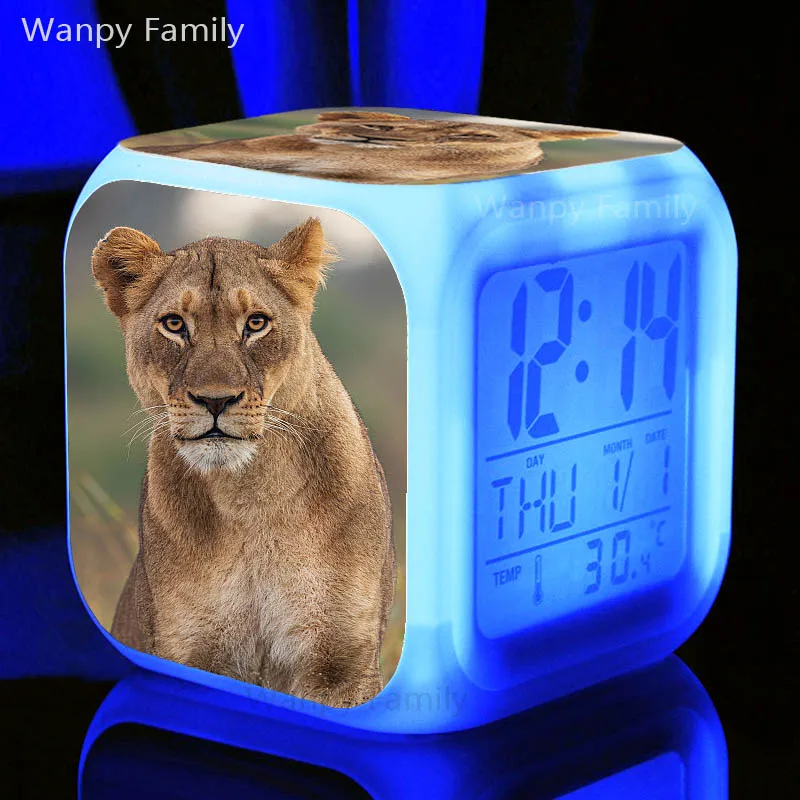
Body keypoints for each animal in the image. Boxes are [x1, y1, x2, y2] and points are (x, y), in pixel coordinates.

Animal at [91, 218, 395, 708]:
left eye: (256, 323)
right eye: (174, 324)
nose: (216, 400)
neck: (249, 497)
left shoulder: (340, 662)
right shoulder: (191, 649)